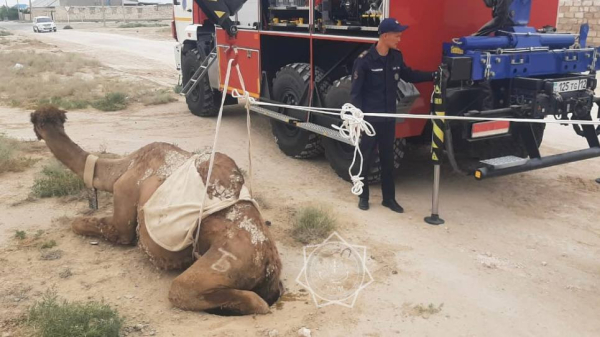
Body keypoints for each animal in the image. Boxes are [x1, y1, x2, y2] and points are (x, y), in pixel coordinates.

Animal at [31, 105, 284, 316]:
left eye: (36, 121)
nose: (37, 127)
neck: (124, 166)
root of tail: (269, 262)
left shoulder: (124, 196)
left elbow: (85, 225)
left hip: (231, 258)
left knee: (192, 291)